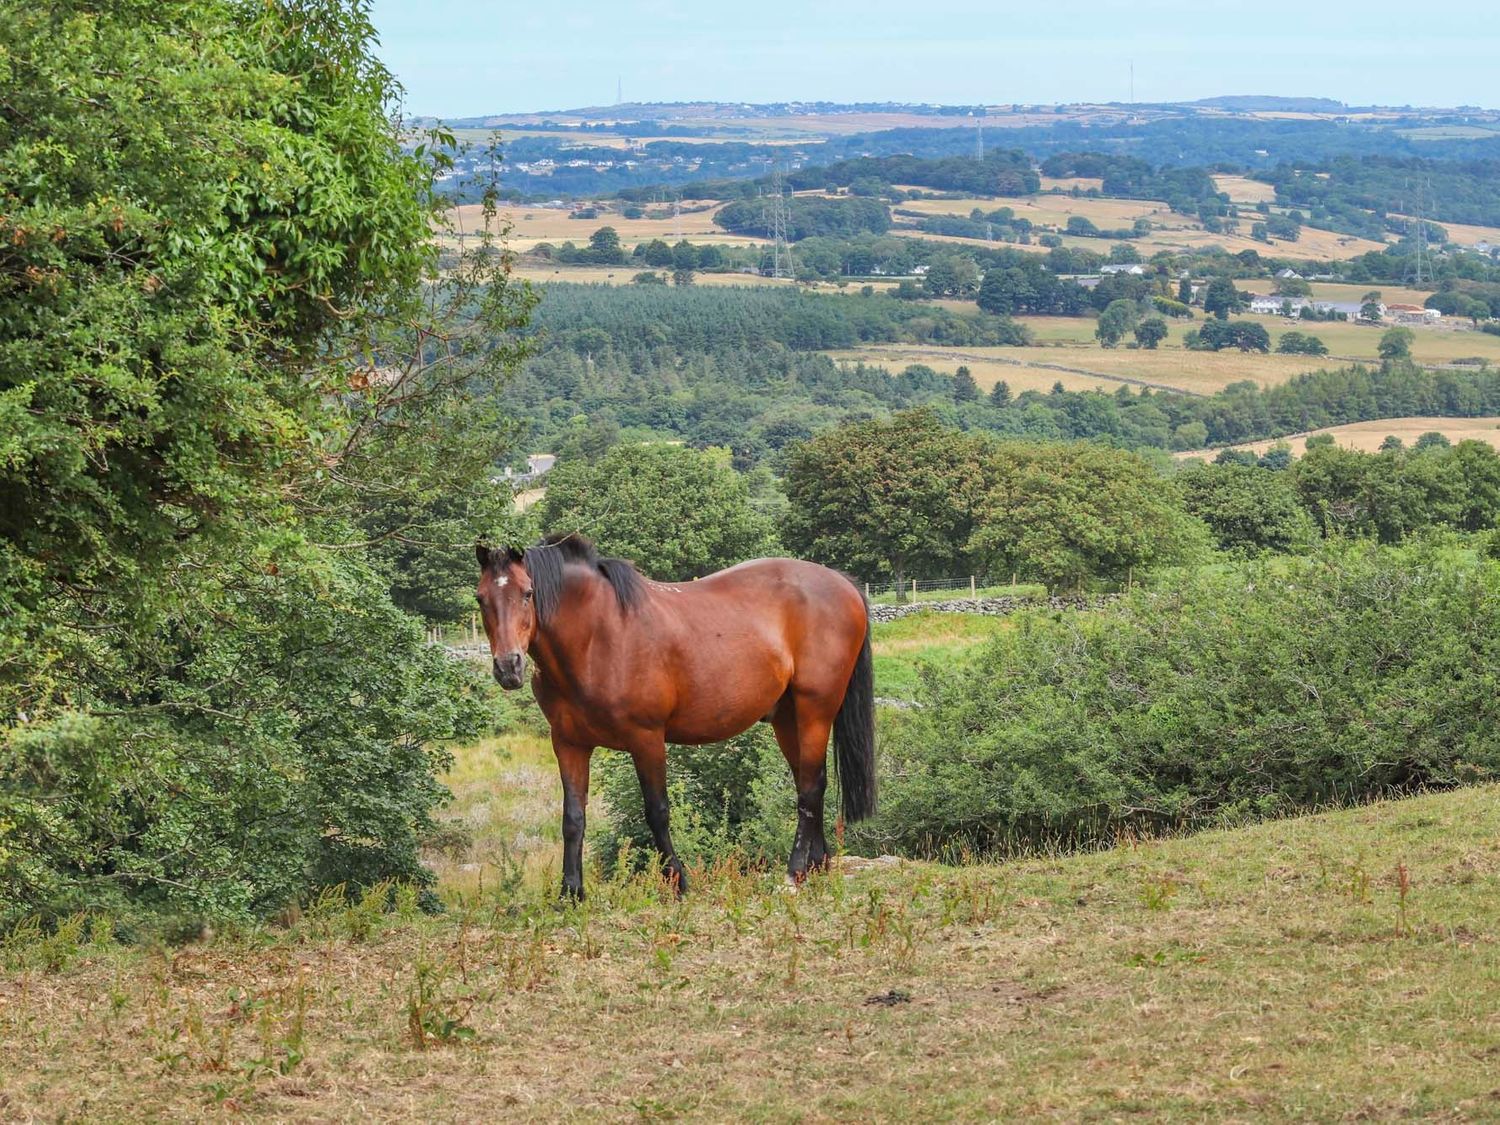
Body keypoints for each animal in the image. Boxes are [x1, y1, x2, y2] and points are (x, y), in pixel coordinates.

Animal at [474, 534, 876, 900]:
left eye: (528, 593)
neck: (597, 638)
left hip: (815, 711)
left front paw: (678, 882)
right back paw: (816, 867)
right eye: (481, 598)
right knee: (812, 781)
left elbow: (657, 811)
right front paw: (571, 893)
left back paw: (793, 874)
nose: (508, 667)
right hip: (787, 718)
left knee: (809, 789)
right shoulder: (569, 744)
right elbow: (573, 818)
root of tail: (844, 584)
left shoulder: (646, 738)